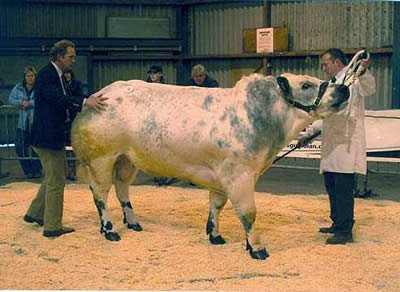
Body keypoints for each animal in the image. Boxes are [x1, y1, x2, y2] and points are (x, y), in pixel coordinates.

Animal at [72, 73, 350, 260]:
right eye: (305, 84)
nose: (344, 89)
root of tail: (97, 98)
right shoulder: (238, 174)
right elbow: (248, 212)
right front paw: (257, 248)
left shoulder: (223, 177)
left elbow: (217, 206)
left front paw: (216, 236)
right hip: (102, 158)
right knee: (100, 193)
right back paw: (110, 230)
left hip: (126, 159)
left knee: (122, 189)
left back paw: (133, 222)